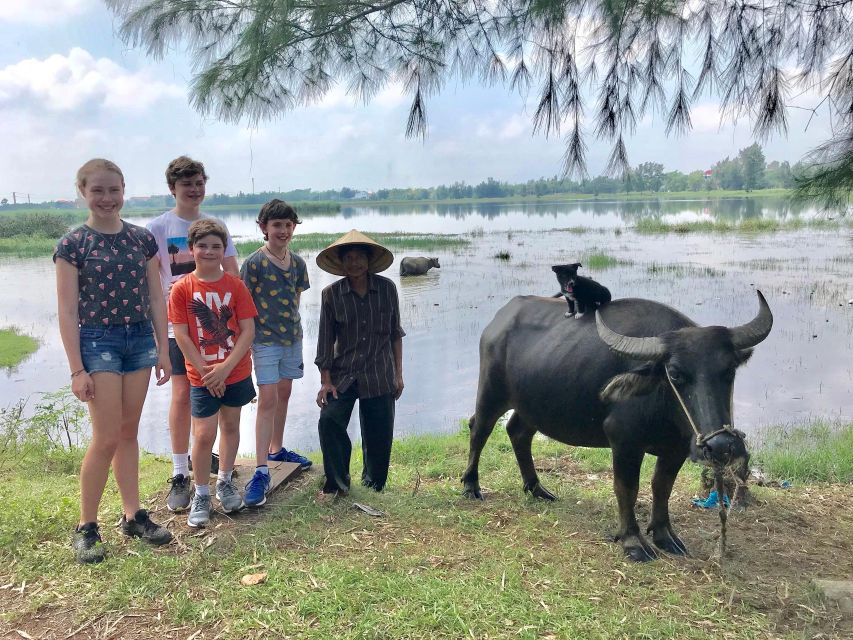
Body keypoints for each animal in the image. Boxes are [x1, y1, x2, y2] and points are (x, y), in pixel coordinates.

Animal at [462, 292, 776, 560]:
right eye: (675, 373)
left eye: (728, 370)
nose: (721, 446)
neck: (662, 405)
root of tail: (498, 321)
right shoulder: (624, 442)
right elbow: (627, 488)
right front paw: (633, 541)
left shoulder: (675, 449)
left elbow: (662, 487)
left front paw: (665, 535)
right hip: (491, 392)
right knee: (479, 429)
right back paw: (471, 486)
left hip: (531, 405)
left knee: (518, 432)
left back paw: (536, 488)